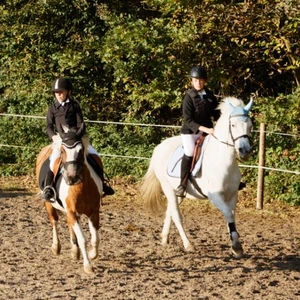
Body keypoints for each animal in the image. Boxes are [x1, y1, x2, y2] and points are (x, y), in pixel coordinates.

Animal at [35, 135, 102, 274]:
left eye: (81, 151)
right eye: (62, 151)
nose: (72, 177)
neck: (81, 187)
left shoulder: (93, 212)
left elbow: (95, 238)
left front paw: (92, 254)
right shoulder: (72, 212)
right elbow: (83, 239)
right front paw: (88, 266)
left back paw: (75, 251)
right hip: (50, 205)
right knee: (54, 221)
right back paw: (56, 247)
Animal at [141, 96, 253, 258]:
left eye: (250, 125)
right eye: (233, 125)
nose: (245, 151)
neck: (222, 159)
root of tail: (159, 147)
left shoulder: (232, 195)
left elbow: (230, 217)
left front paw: (235, 246)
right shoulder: (215, 197)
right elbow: (228, 214)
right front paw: (237, 246)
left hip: (177, 193)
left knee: (170, 210)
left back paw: (164, 239)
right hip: (167, 188)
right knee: (176, 215)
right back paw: (188, 245)